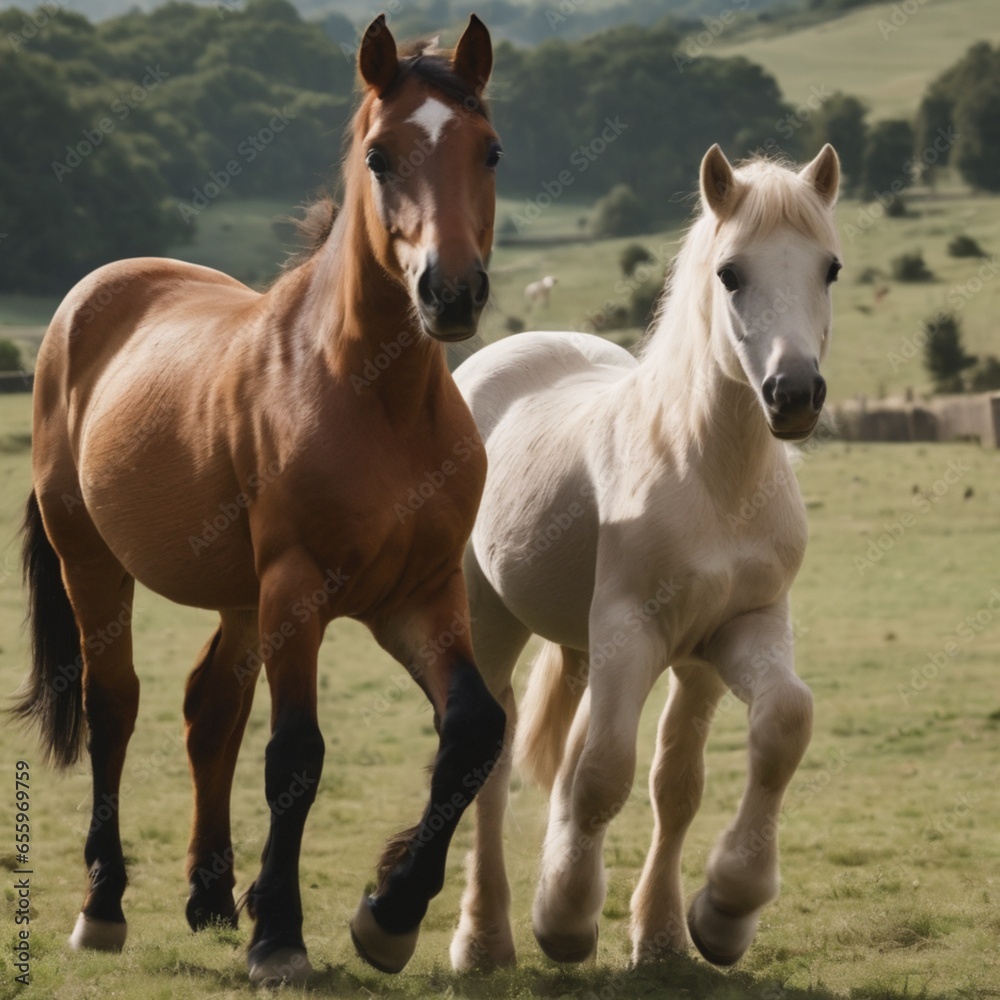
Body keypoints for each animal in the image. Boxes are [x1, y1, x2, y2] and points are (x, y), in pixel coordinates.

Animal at [12, 13, 504, 984]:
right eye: (381, 156)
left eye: (491, 150)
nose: (452, 291)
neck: (373, 398)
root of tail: (92, 297)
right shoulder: (299, 592)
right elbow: (295, 757)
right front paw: (280, 933)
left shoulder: (419, 597)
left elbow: (473, 731)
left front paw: (388, 914)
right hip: (97, 565)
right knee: (115, 707)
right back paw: (104, 907)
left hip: (241, 598)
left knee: (209, 713)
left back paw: (208, 894)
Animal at [450, 145, 840, 972]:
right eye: (730, 272)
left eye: (829, 267)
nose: (793, 393)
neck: (711, 477)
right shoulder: (631, 630)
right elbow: (603, 775)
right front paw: (566, 920)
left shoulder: (728, 637)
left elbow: (733, 753)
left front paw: (707, 918)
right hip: (489, 620)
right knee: (491, 762)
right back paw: (483, 939)